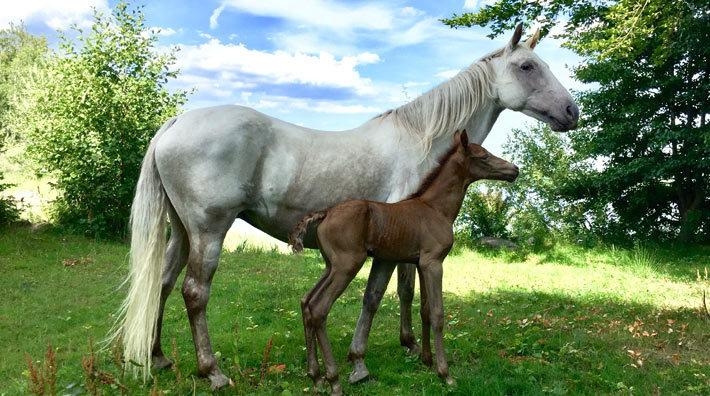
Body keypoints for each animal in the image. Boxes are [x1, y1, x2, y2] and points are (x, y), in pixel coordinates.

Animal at [292, 131, 520, 394]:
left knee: (306, 302)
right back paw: (334, 380)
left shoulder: (421, 263)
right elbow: (438, 314)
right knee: (319, 308)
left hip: (331, 266)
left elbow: (425, 311)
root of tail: (326, 213)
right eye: (483, 156)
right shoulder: (434, 263)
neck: (436, 209)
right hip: (346, 266)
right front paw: (445, 374)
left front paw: (427, 360)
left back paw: (315, 376)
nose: (514, 170)